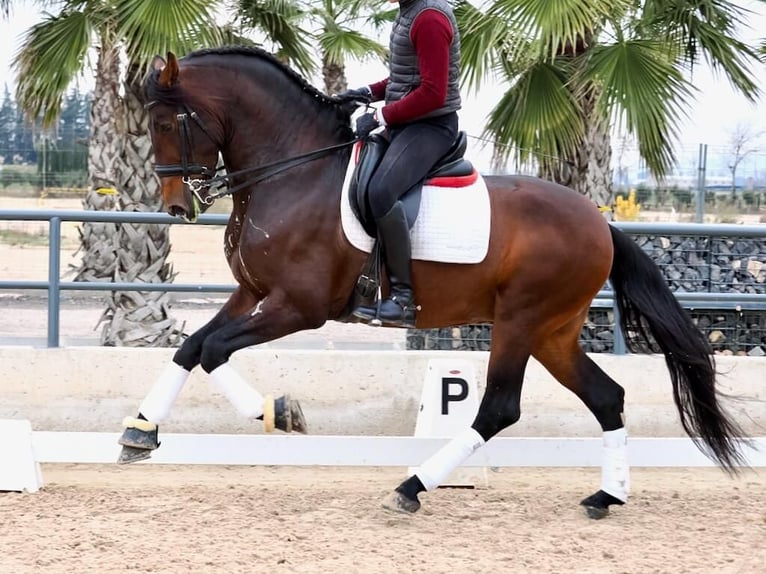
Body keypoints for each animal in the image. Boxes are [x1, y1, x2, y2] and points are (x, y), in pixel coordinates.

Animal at [120, 47, 752, 520]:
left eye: (163, 123)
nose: (176, 207)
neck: (292, 169)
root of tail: (602, 223)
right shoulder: (252, 293)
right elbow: (191, 347)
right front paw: (140, 433)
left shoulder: (297, 307)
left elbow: (215, 352)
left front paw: (280, 412)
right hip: (553, 332)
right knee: (606, 397)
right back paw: (605, 495)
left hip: (519, 321)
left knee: (498, 408)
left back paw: (412, 487)